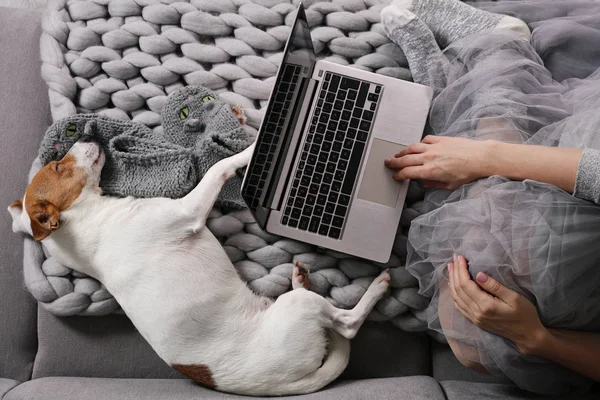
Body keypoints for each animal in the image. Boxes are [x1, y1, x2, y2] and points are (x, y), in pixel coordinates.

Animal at [9, 139, 394, 396]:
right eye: (57, 167)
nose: (85, 136)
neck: (85, 224)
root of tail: (283, 385)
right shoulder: (188, 211)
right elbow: (217, 167)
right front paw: (252, 148)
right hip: (301, 312)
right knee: (346, 324)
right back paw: (377, 285)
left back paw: (300, 277)